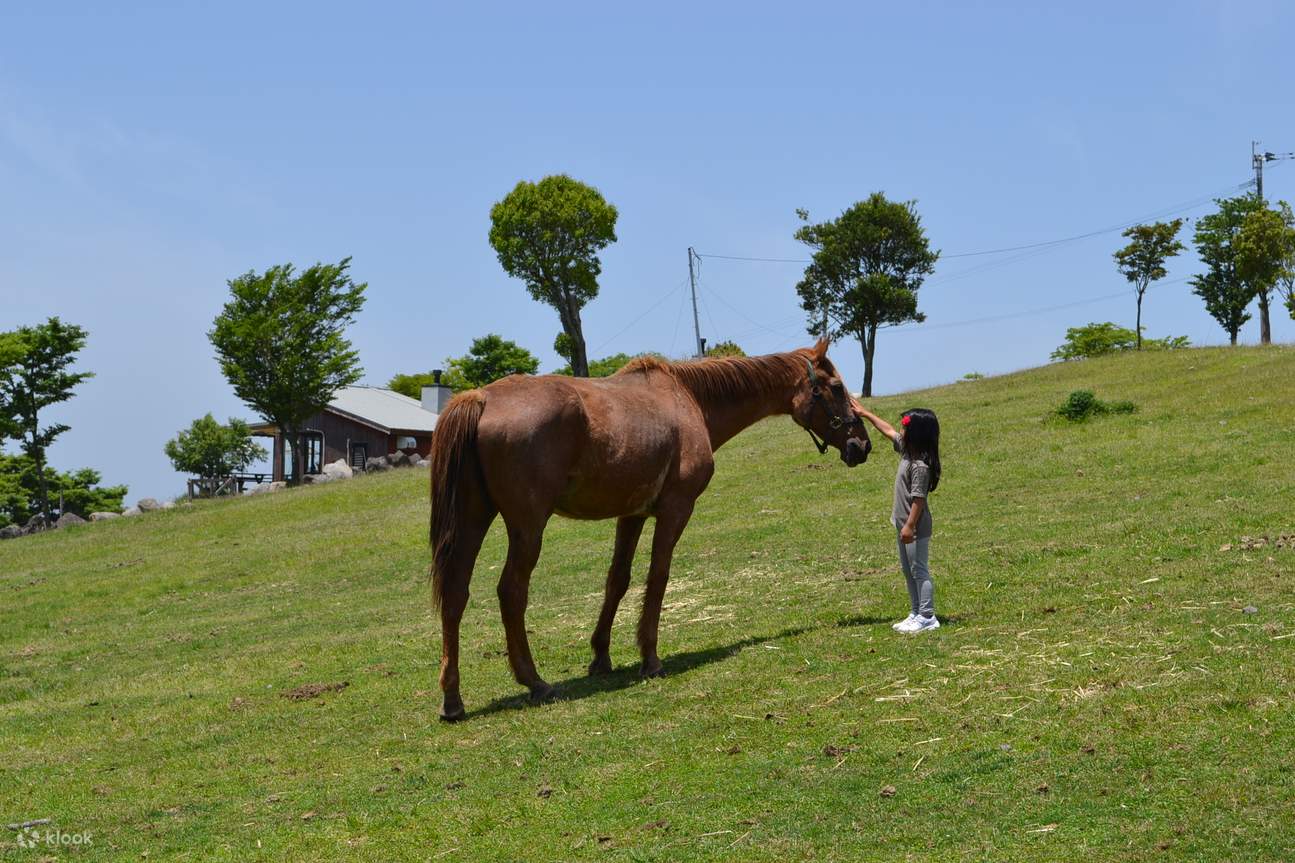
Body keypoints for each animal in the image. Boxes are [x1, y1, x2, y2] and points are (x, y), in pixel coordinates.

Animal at [428, 338, 871, 721]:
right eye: (835, 387)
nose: (862, 445)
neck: (688, 399)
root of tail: (481, 398)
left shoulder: (633, 514)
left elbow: (618, 580)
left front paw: (601, 656)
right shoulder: (675, 510)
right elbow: (657, 577)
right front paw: (650, 658)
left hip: (473, 519)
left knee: (455, 593)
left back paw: (452, 698)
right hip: (527, 526)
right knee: (511, 592)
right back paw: (534, 681)